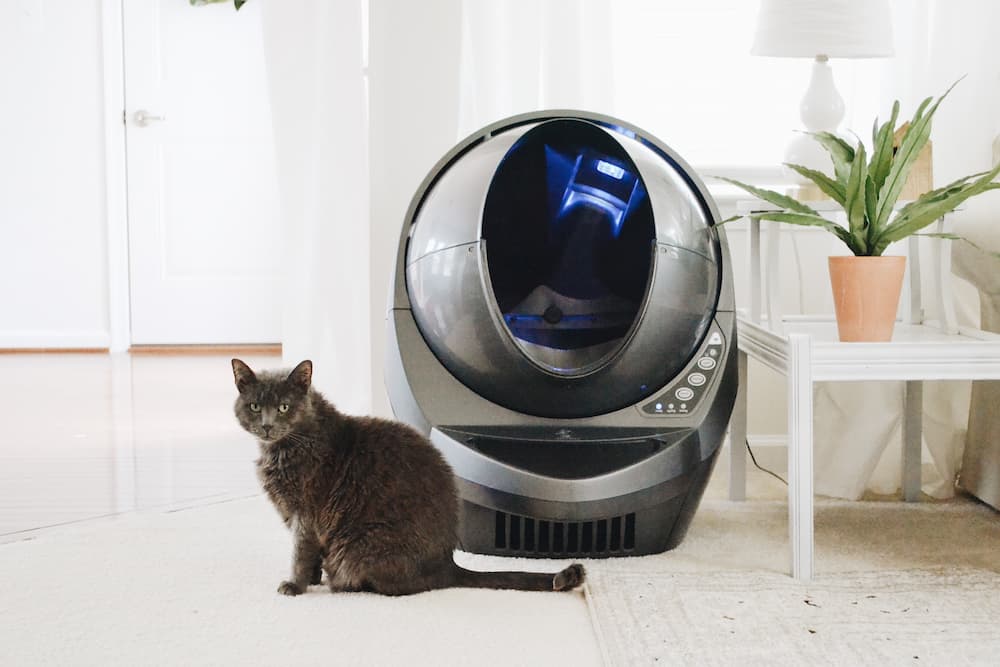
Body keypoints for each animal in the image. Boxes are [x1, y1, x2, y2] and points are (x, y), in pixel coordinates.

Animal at [229, 358, 584, 596]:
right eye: (255, 406)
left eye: (284, 407)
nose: (267, 425)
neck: (279, 449)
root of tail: (447, 565)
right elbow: (311, 553)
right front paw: (312, 579)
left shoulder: (306, 513)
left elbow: (301, 552)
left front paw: (295, 585)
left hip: (361, 545)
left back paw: (340, 582)